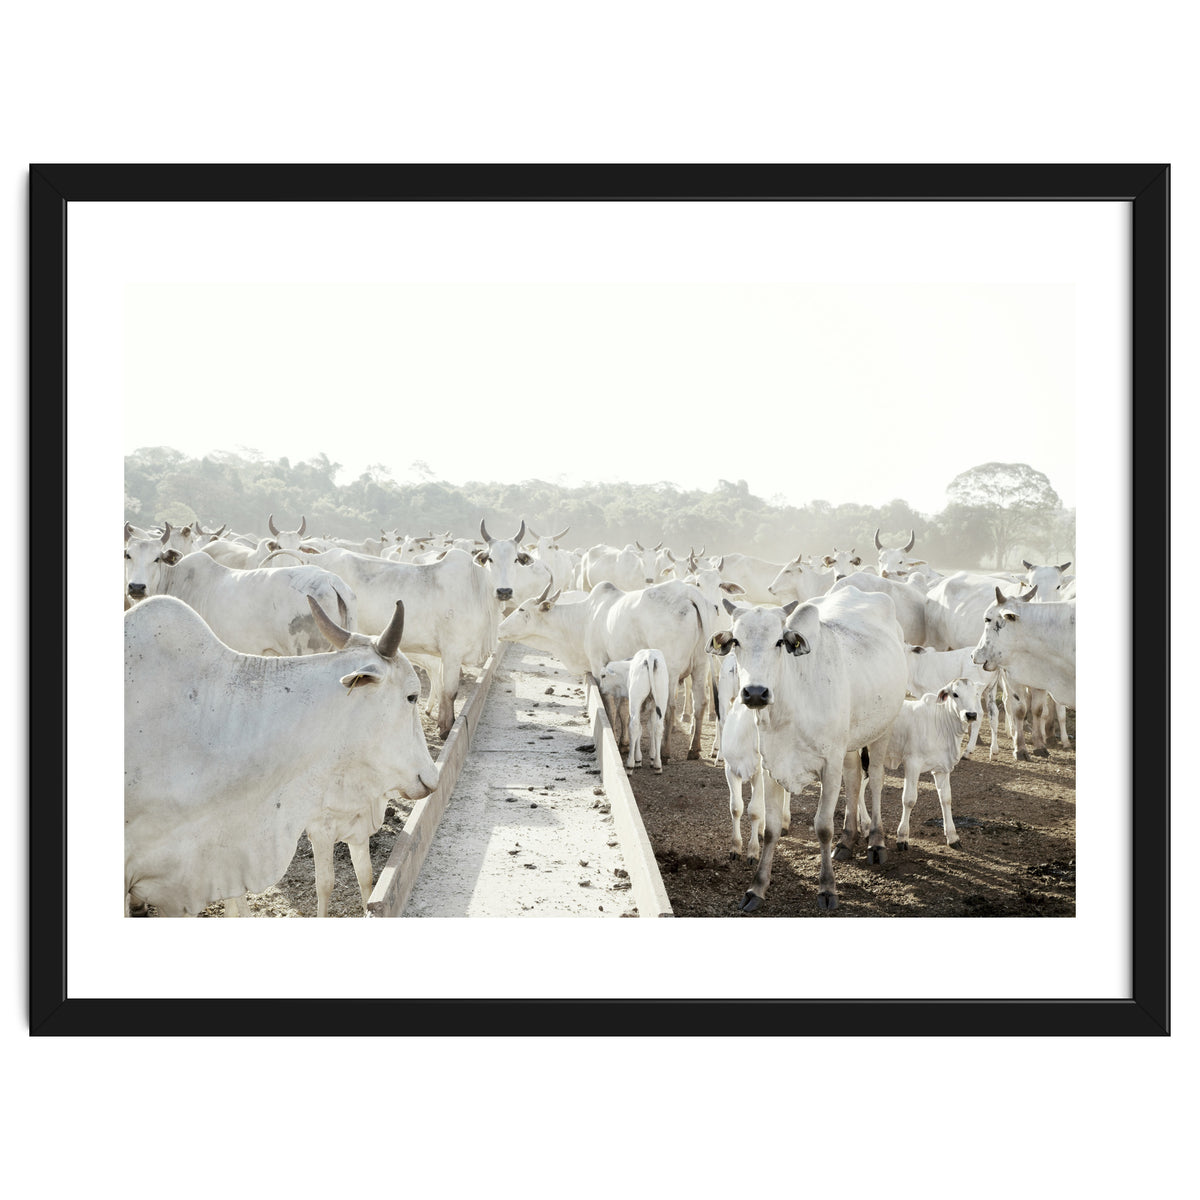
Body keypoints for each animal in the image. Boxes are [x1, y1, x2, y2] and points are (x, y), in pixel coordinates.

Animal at [498, 579, 712, 760]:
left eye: (521, 609)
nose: (500, 629)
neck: (584, 618)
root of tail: (687, 592)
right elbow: (624, 709)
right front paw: (624, 743)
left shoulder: (598, 665)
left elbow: (609, 705)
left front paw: (614, 738)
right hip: (701, 665)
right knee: (701, 702)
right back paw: (694, 749)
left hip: (670, 670)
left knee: (670, 707)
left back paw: (665, 751)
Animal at [708, 588, 908, 912]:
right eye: (736, 641)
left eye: (779, 641)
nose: (755, 693)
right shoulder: (771, 767)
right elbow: (770, 829)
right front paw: (756, 888)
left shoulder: (829, 764)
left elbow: (823, 827)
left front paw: (827, 889)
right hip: (848, 744)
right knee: (854, 779)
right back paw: (847, 840)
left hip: (883, 728)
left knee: (876, 779)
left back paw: (876, 842)